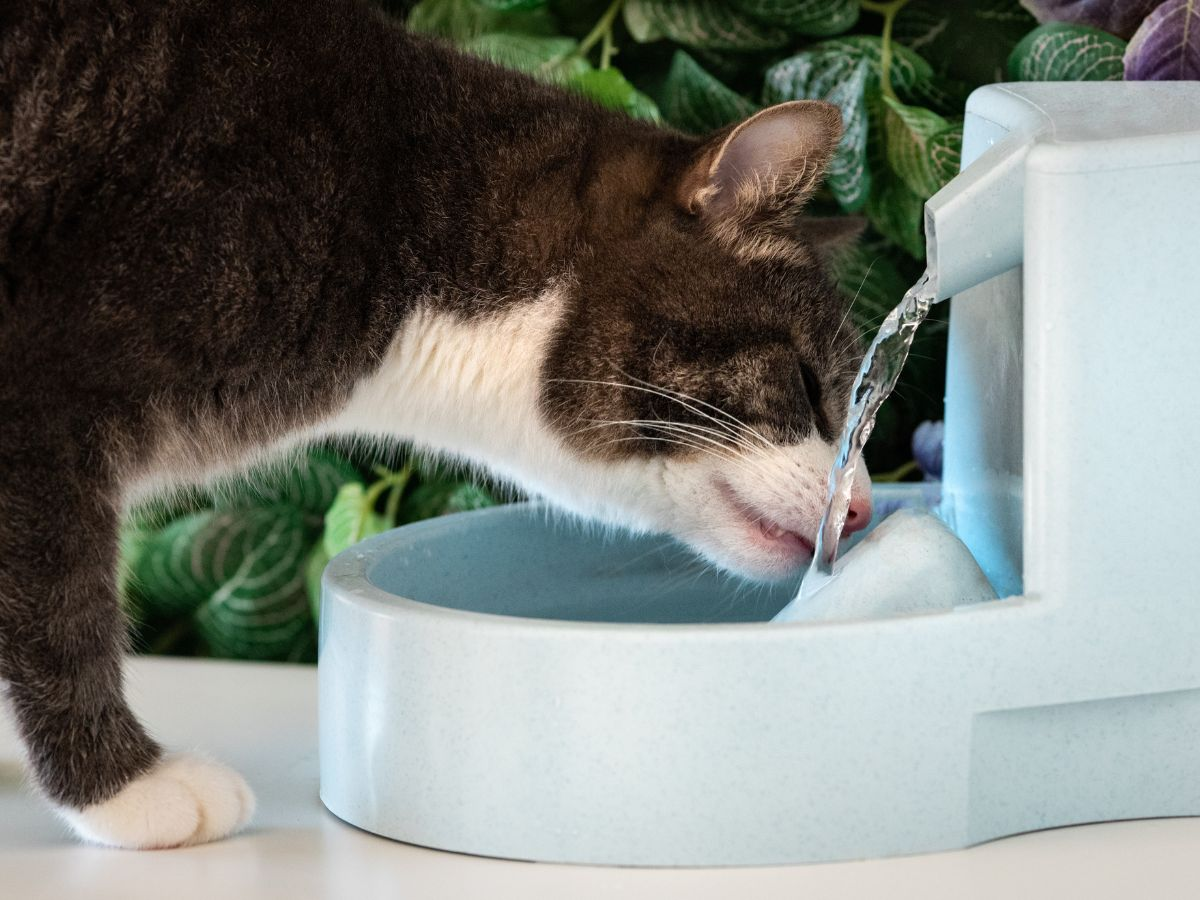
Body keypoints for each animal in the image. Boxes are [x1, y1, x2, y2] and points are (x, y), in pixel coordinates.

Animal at [4, 0, 873, 849]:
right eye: (808, 386)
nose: (862, 507)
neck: (399, 208)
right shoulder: (42, 393)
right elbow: (62, 606)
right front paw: (125, 791)